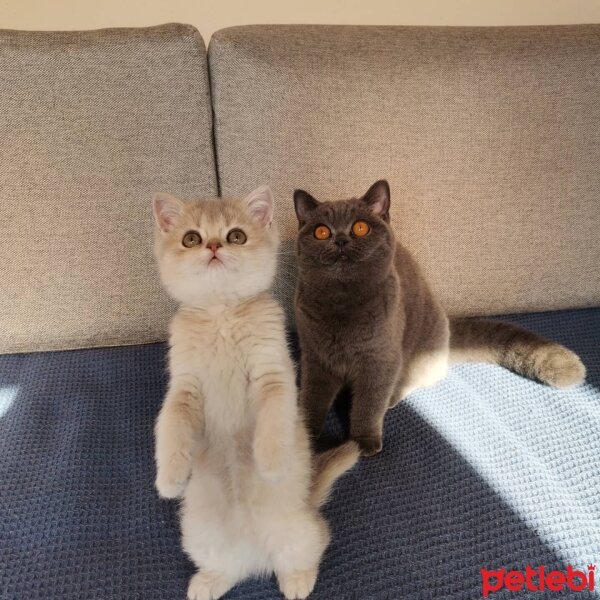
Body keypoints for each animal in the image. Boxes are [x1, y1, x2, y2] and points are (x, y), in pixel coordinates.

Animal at [152, 188, 358, 600]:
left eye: (236, 236)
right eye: (191, 239)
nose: (214, 246)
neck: (221, 314)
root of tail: (255, 553)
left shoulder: (274, 373)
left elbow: (275, 418)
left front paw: (272, 463)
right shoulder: (183, 386)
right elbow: (171, 426)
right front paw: (170, 477)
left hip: (298, 531)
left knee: (315, 541)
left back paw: (298, 580)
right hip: (198, 535)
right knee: (230, 568)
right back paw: (209, 582)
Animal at [296, 180, 584, 458]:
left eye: (360, 228)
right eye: (321, 232)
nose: (341, 240)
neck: (341, 303)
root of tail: (447, 323)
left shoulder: (380, 360)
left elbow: (369, 405)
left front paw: (363, 441)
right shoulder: (314, 357)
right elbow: (312, 397)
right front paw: (304, 434)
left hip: (419, 350)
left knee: (413, 380)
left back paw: (393, 397)